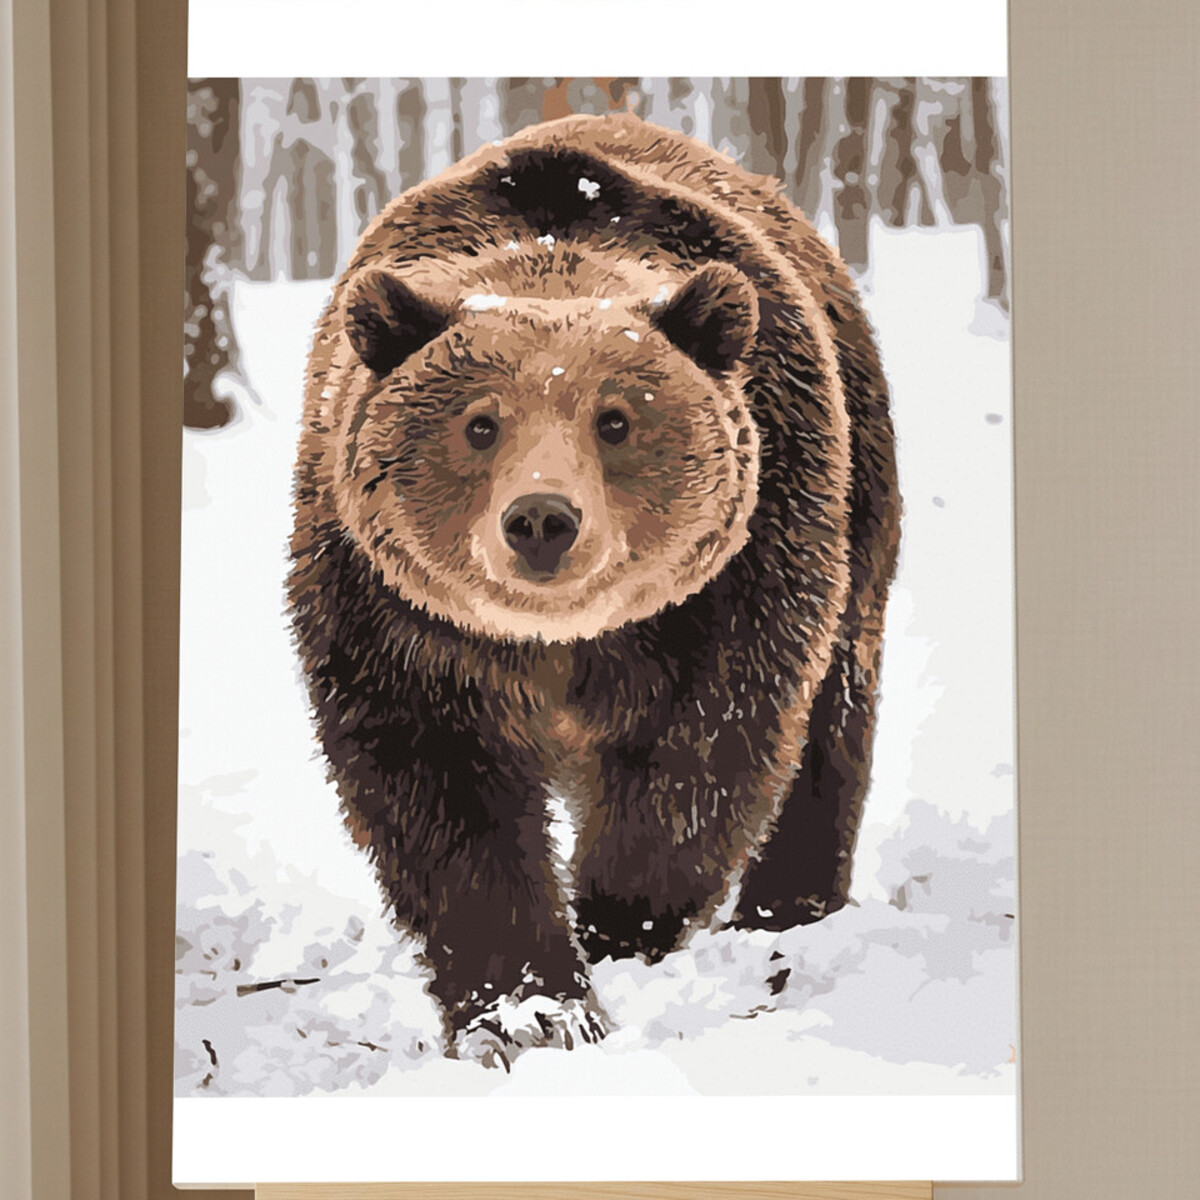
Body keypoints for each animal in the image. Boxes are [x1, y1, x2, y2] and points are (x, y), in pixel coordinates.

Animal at [287, 111, 900, 1068]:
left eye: (616, 419)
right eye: (480, 424)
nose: (542, 518)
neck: (561, 643)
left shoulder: (736, 580)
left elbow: (702, 759)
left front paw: (614, 926)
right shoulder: (391, 615)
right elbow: (440, 798)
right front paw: (529, 1009)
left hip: (859, 501)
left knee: (833, 720)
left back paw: (787, 913)